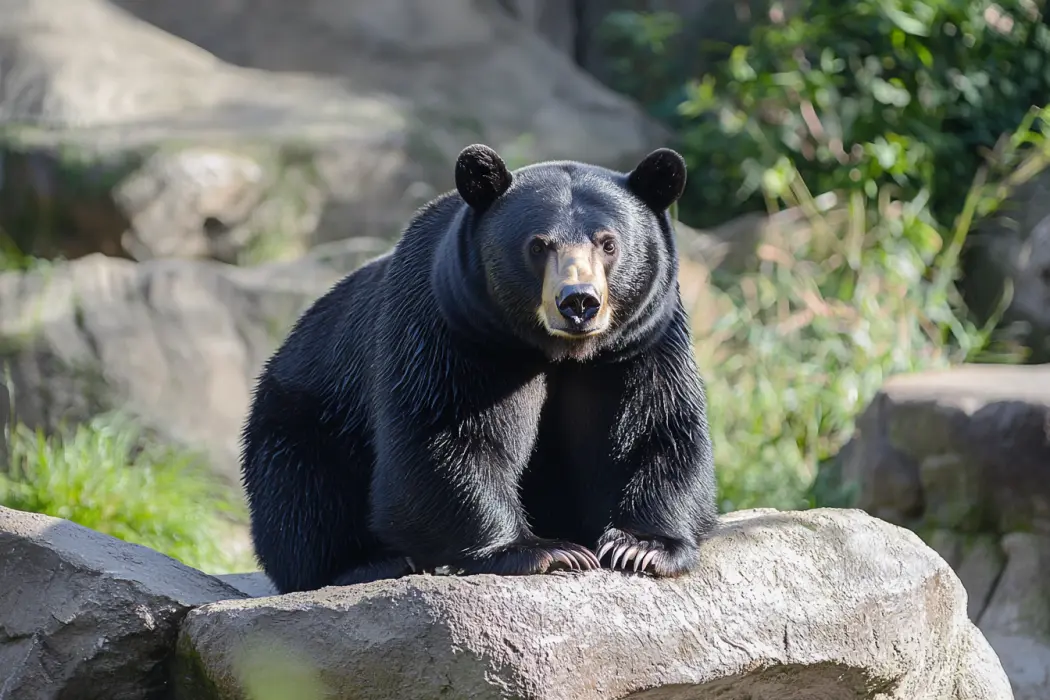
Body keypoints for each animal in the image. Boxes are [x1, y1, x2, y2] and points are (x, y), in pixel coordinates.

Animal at [239, 143, 719, 594]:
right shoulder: (452, 331)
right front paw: (547, 551)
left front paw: (641, 547)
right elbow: (448, 436)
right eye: (538, 245)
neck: (559, 350)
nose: (578, 301)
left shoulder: (639, 343)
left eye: (608, 243)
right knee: (303, 495)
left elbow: (653, 427)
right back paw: (368, 563)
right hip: (304, 414)